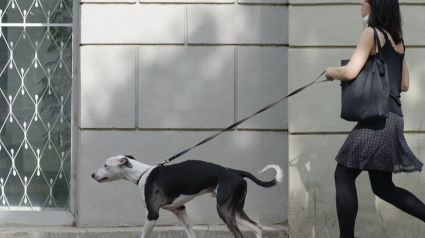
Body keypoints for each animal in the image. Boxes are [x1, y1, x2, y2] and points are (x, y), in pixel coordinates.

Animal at [90, 155, 282, 237]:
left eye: (105, 165)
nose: (92, 175)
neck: (142, 173)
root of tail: (235, 172)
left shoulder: (152, 215)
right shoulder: (180, 210)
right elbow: (191, 233)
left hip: (225, 210)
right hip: (236, 210)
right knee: (257, 227)